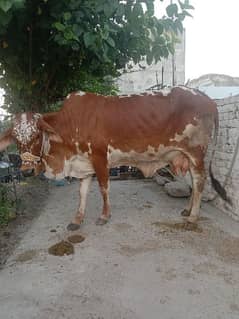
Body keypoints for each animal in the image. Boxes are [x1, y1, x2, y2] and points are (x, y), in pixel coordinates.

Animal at [0, 85, 229, 230]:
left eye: (37, 135)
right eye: (15, 138)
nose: (27, 170)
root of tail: (208, 100)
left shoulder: (100, 158)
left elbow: (103, 188)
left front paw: (104, 216)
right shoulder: (84, 163)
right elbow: (82, 192)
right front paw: (77, 219)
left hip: (196, 153)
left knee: (199, 182)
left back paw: (193, 217)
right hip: (186, 156)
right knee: (193, 182)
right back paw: (187, 210)